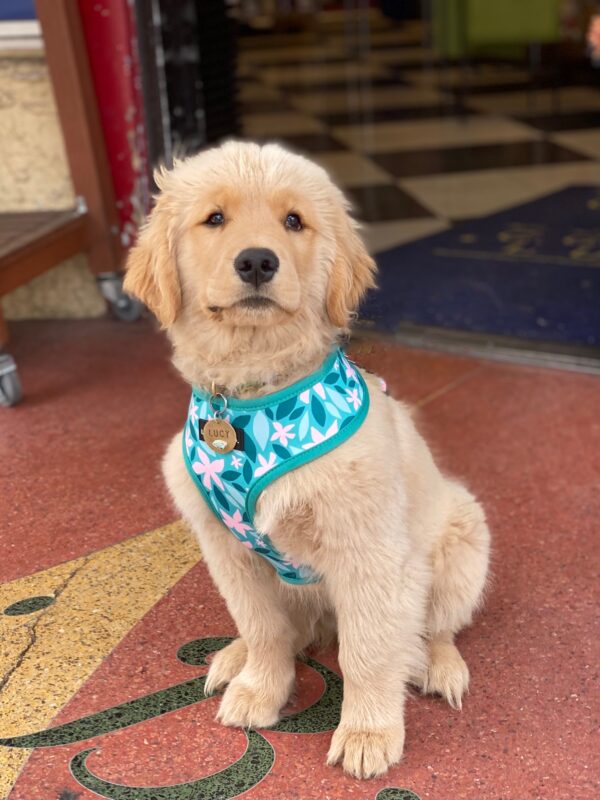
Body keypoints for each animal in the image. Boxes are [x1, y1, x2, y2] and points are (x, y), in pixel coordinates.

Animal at [124, 141, 490, 780]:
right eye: (214, 219)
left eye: (294, 221)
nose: (256, 262)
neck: (254, 395)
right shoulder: (226, 548)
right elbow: (262, 626)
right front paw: (259, 688)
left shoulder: (369, 550)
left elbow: (368, 651)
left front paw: (368, 733)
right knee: (291, 629)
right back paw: (235, 660)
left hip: (462, 537)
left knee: (433, 626)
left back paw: (436, 664)